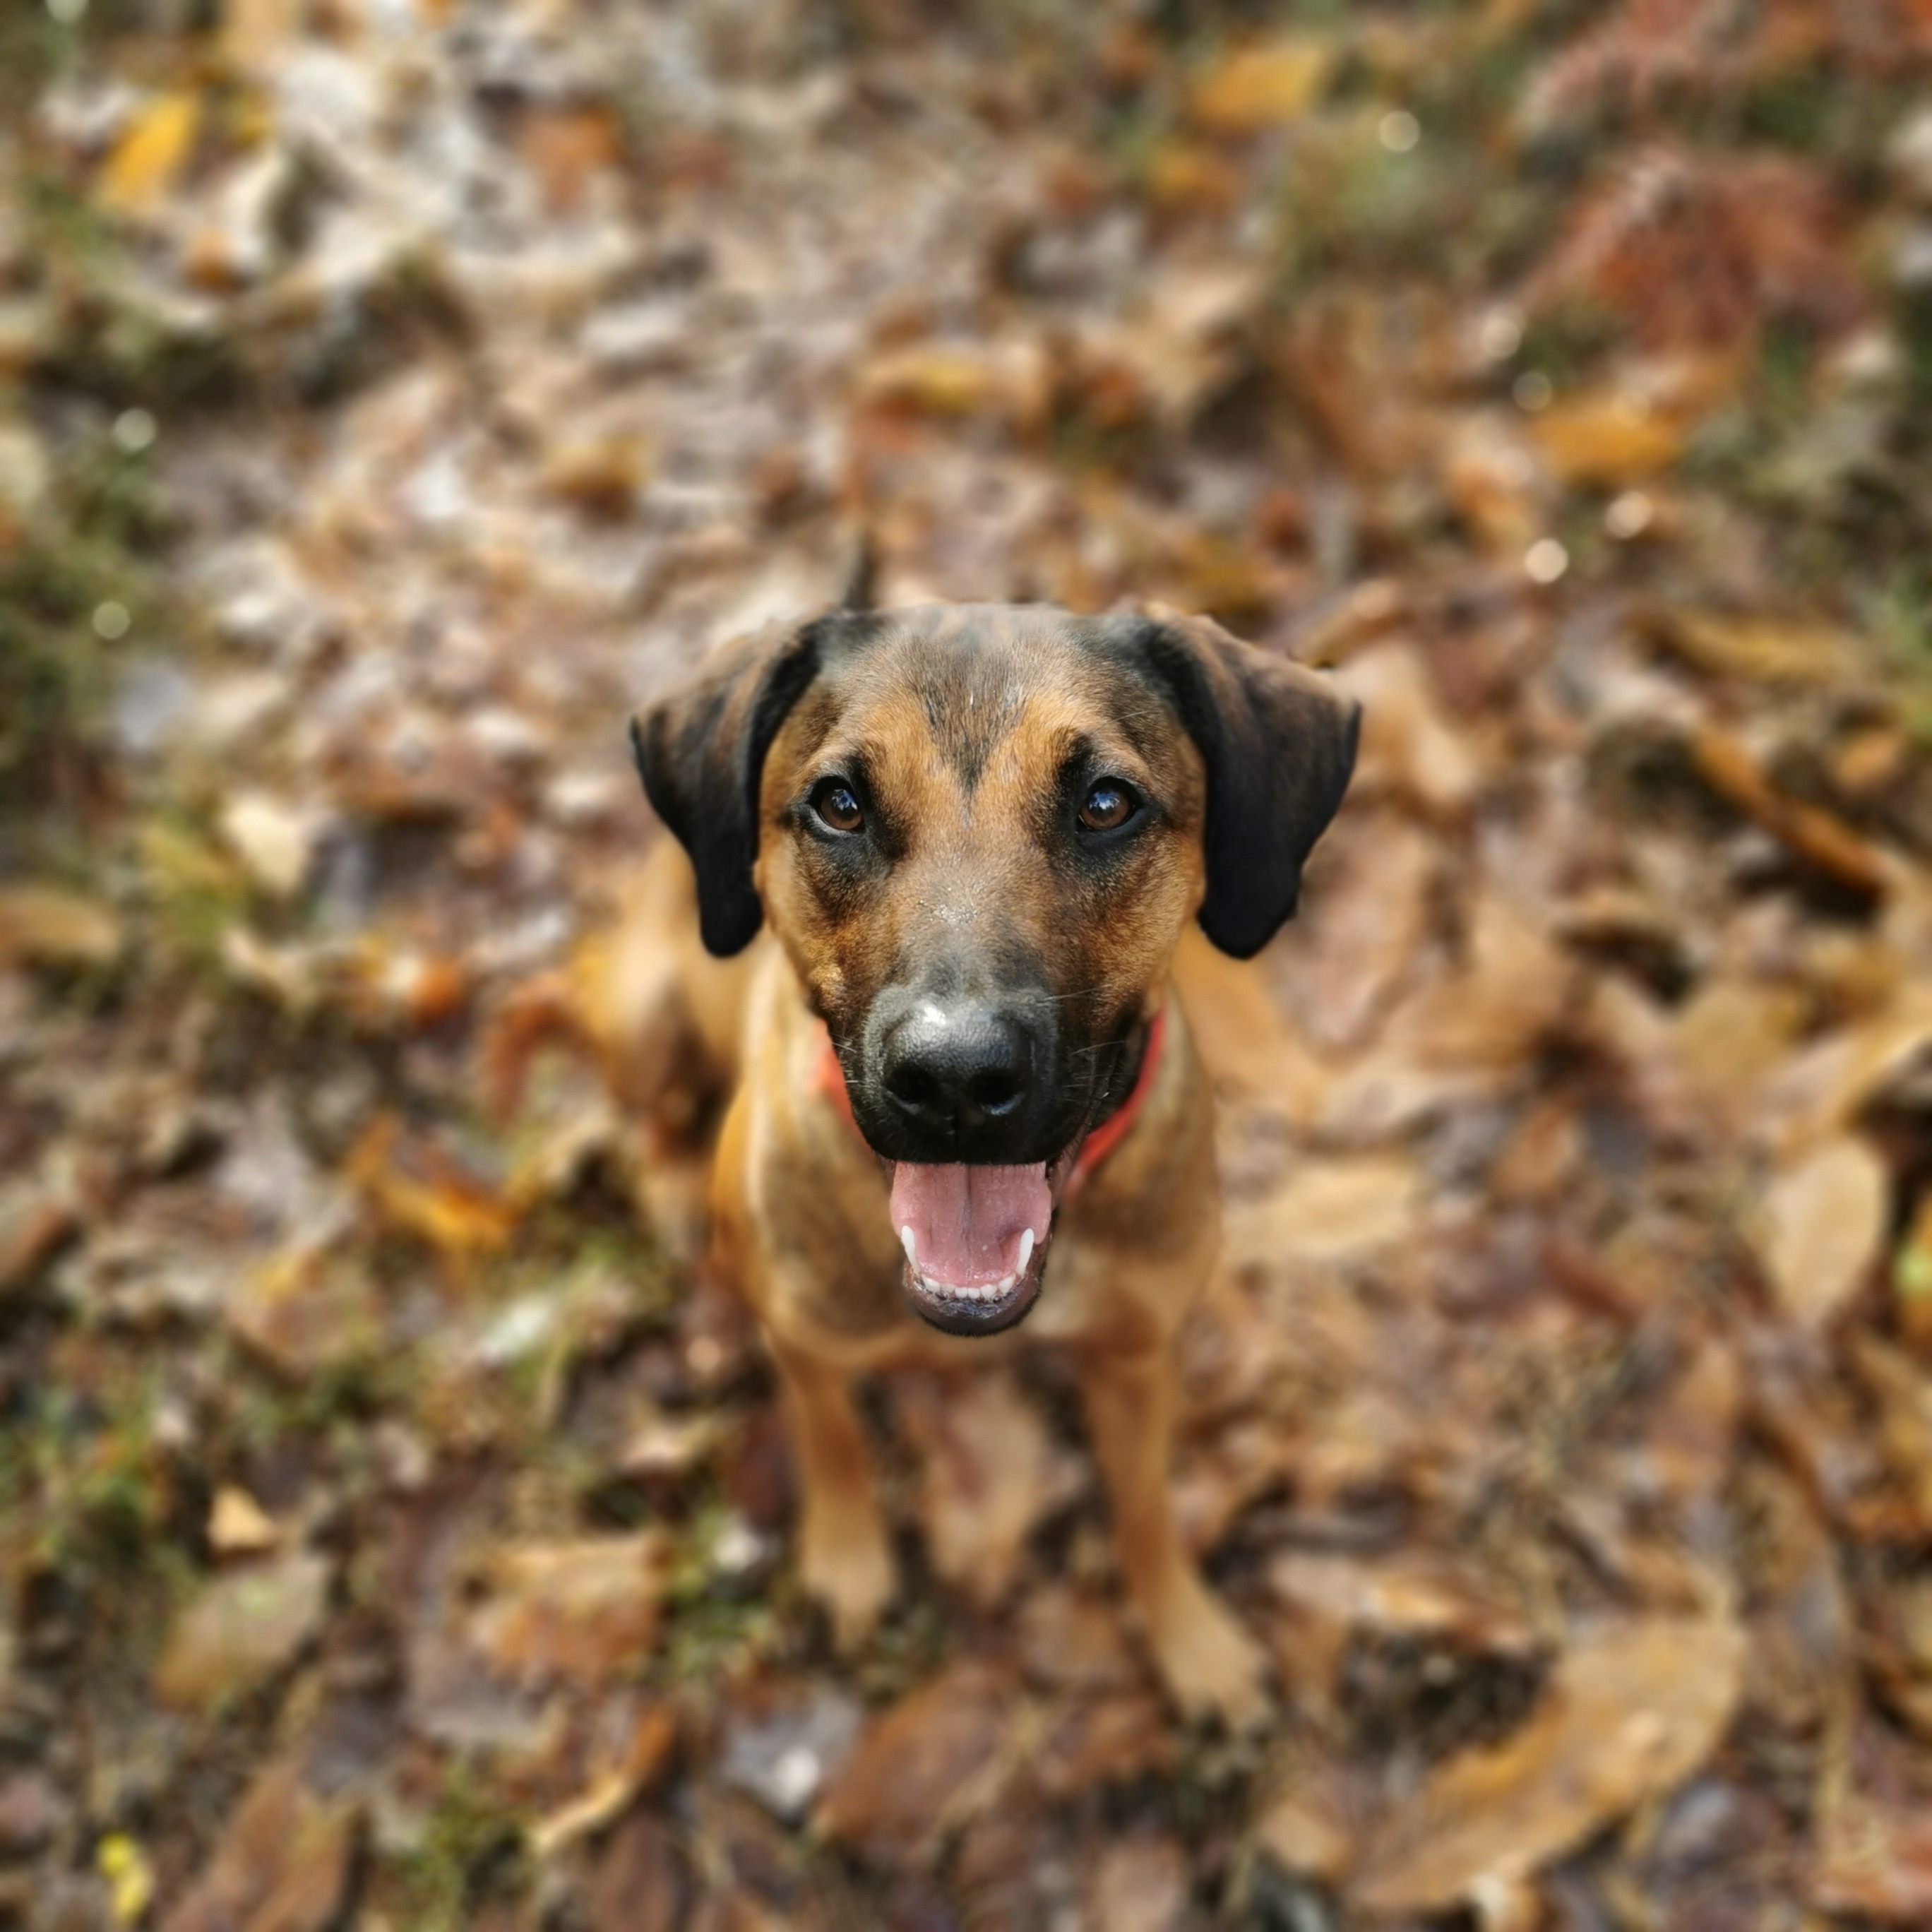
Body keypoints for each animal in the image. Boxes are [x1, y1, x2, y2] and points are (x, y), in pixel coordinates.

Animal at [625, 602, 1358, 1723]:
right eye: (840, 805)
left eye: (1105, 803)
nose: (956, 1081)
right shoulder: (801, 1337)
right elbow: (830, 1437)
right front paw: (848, 1558)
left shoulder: (1138, 1356)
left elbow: (1145, 1508)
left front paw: (1190, 1637)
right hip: (648, 1013)